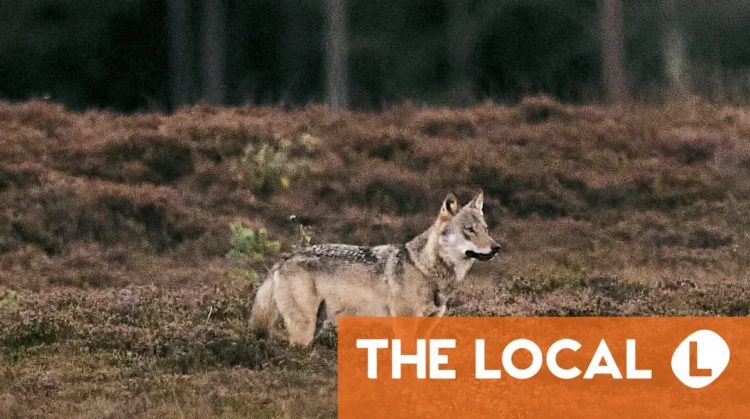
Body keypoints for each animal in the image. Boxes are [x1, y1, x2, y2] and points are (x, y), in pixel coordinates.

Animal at [249, 190, 501, 346]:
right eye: (469, 230)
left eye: (485, 229)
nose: (496, 247)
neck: (426, 269)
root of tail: (285, 258)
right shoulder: (405, 326)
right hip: (304, 330)